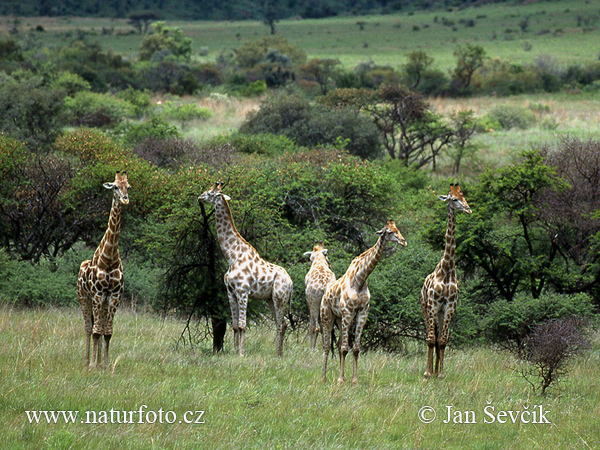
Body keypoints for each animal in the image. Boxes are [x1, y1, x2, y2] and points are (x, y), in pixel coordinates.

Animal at [77, 171, 130, 368]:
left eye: (128, 186)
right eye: (115, 187)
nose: (125, 199)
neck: (109, 257)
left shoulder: (114, 295)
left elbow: (107, 332)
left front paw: (105, 365)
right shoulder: (97, 293)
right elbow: (95, 331)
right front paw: (93, 365)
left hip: (104, 301)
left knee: (98, 327)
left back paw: (99, 361)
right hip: (84, 297)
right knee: (87, 327)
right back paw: (86, 361)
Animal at [199, 181, 292, 356]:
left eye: (209, 193)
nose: (200, 197)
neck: (232, 256)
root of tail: (291, 283)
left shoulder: (243, 291)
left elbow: (243, 324)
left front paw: (241, 354)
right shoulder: (230, 292)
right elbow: (235, 325)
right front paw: (235, 351)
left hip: (280, 297)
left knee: (281, 323)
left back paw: (279, 354)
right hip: (270, 299)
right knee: (282, 323)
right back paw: (279, 354)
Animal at [318, 220, 408, 382]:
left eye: (397, 229)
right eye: (390, 232)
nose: (403, 242)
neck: (360, 279)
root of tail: (325, 293)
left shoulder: (362, 313)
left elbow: (355, 348)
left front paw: (354, 380)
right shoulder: (348, 312)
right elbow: (345, 348)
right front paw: (340, 380)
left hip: (340, 318)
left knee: (338, 343)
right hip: (327, 316)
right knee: (327, 346)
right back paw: (323, 378)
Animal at [420, 182, 472, 376]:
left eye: (464, 197)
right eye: (454, 199)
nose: (468, 209)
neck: (447, 268)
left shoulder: (450, 306)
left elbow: (442, 341)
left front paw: (440, 374)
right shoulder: (433, 304)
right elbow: (430, 339)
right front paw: (427, 374)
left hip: (441, 313)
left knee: (437, 338)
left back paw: (436, 371)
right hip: (426, 309)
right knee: (429, 336)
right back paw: (429, 371)